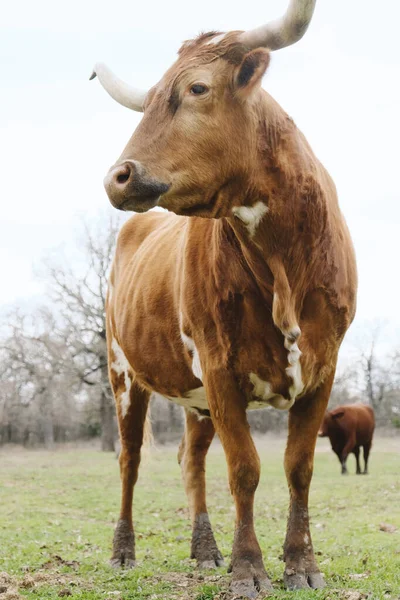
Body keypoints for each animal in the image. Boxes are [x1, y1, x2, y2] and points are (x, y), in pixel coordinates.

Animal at [92, 0, 358, 596]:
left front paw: (300, 564)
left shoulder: (323, 367)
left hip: (195, 400)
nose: (118, 177)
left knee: (190, 461)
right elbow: (245, 469)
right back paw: (122, 551)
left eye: (197, 88)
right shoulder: (219, 367)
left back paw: (204, 550)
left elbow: (298, 467)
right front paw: (249, 569)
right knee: (130, 460)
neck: (283, 264)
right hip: (124, 374)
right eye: (151, 97)